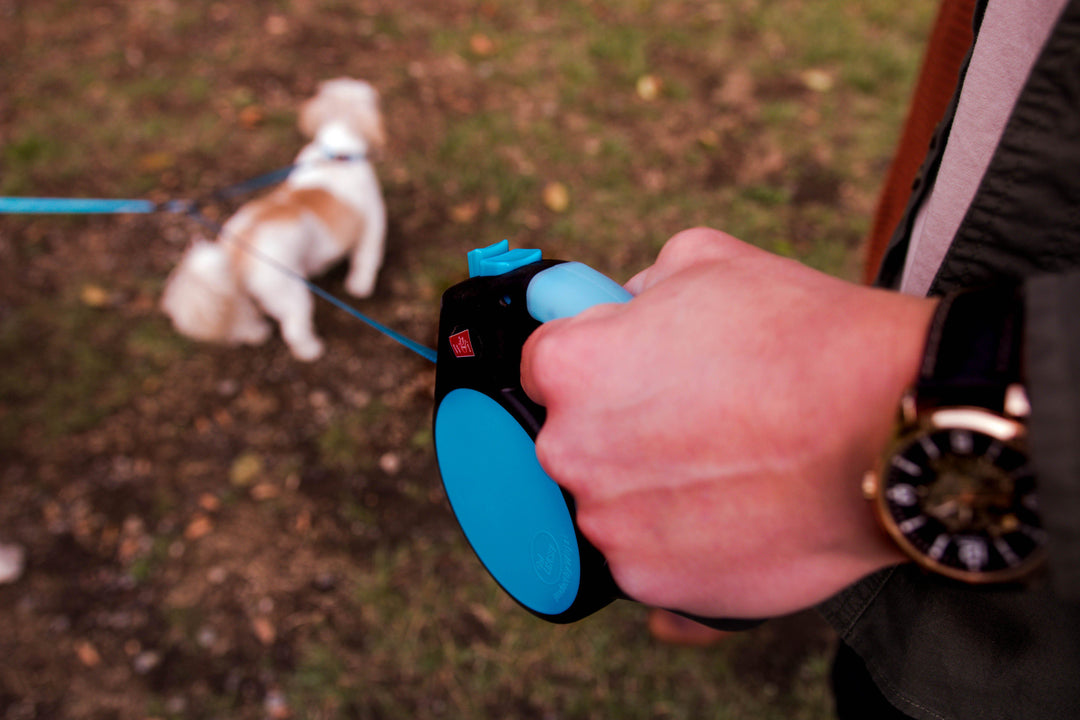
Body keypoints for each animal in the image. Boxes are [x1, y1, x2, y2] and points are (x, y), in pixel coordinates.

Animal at [160, 78, 388, 360]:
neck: (336, 152)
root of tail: (235, 254)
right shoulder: (373, 222)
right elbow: (367, 259)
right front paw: (360, 286)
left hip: (239, 294)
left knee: (244, 321)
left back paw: (257, 334)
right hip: (290, 294)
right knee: (294, 328)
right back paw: (311, 350)